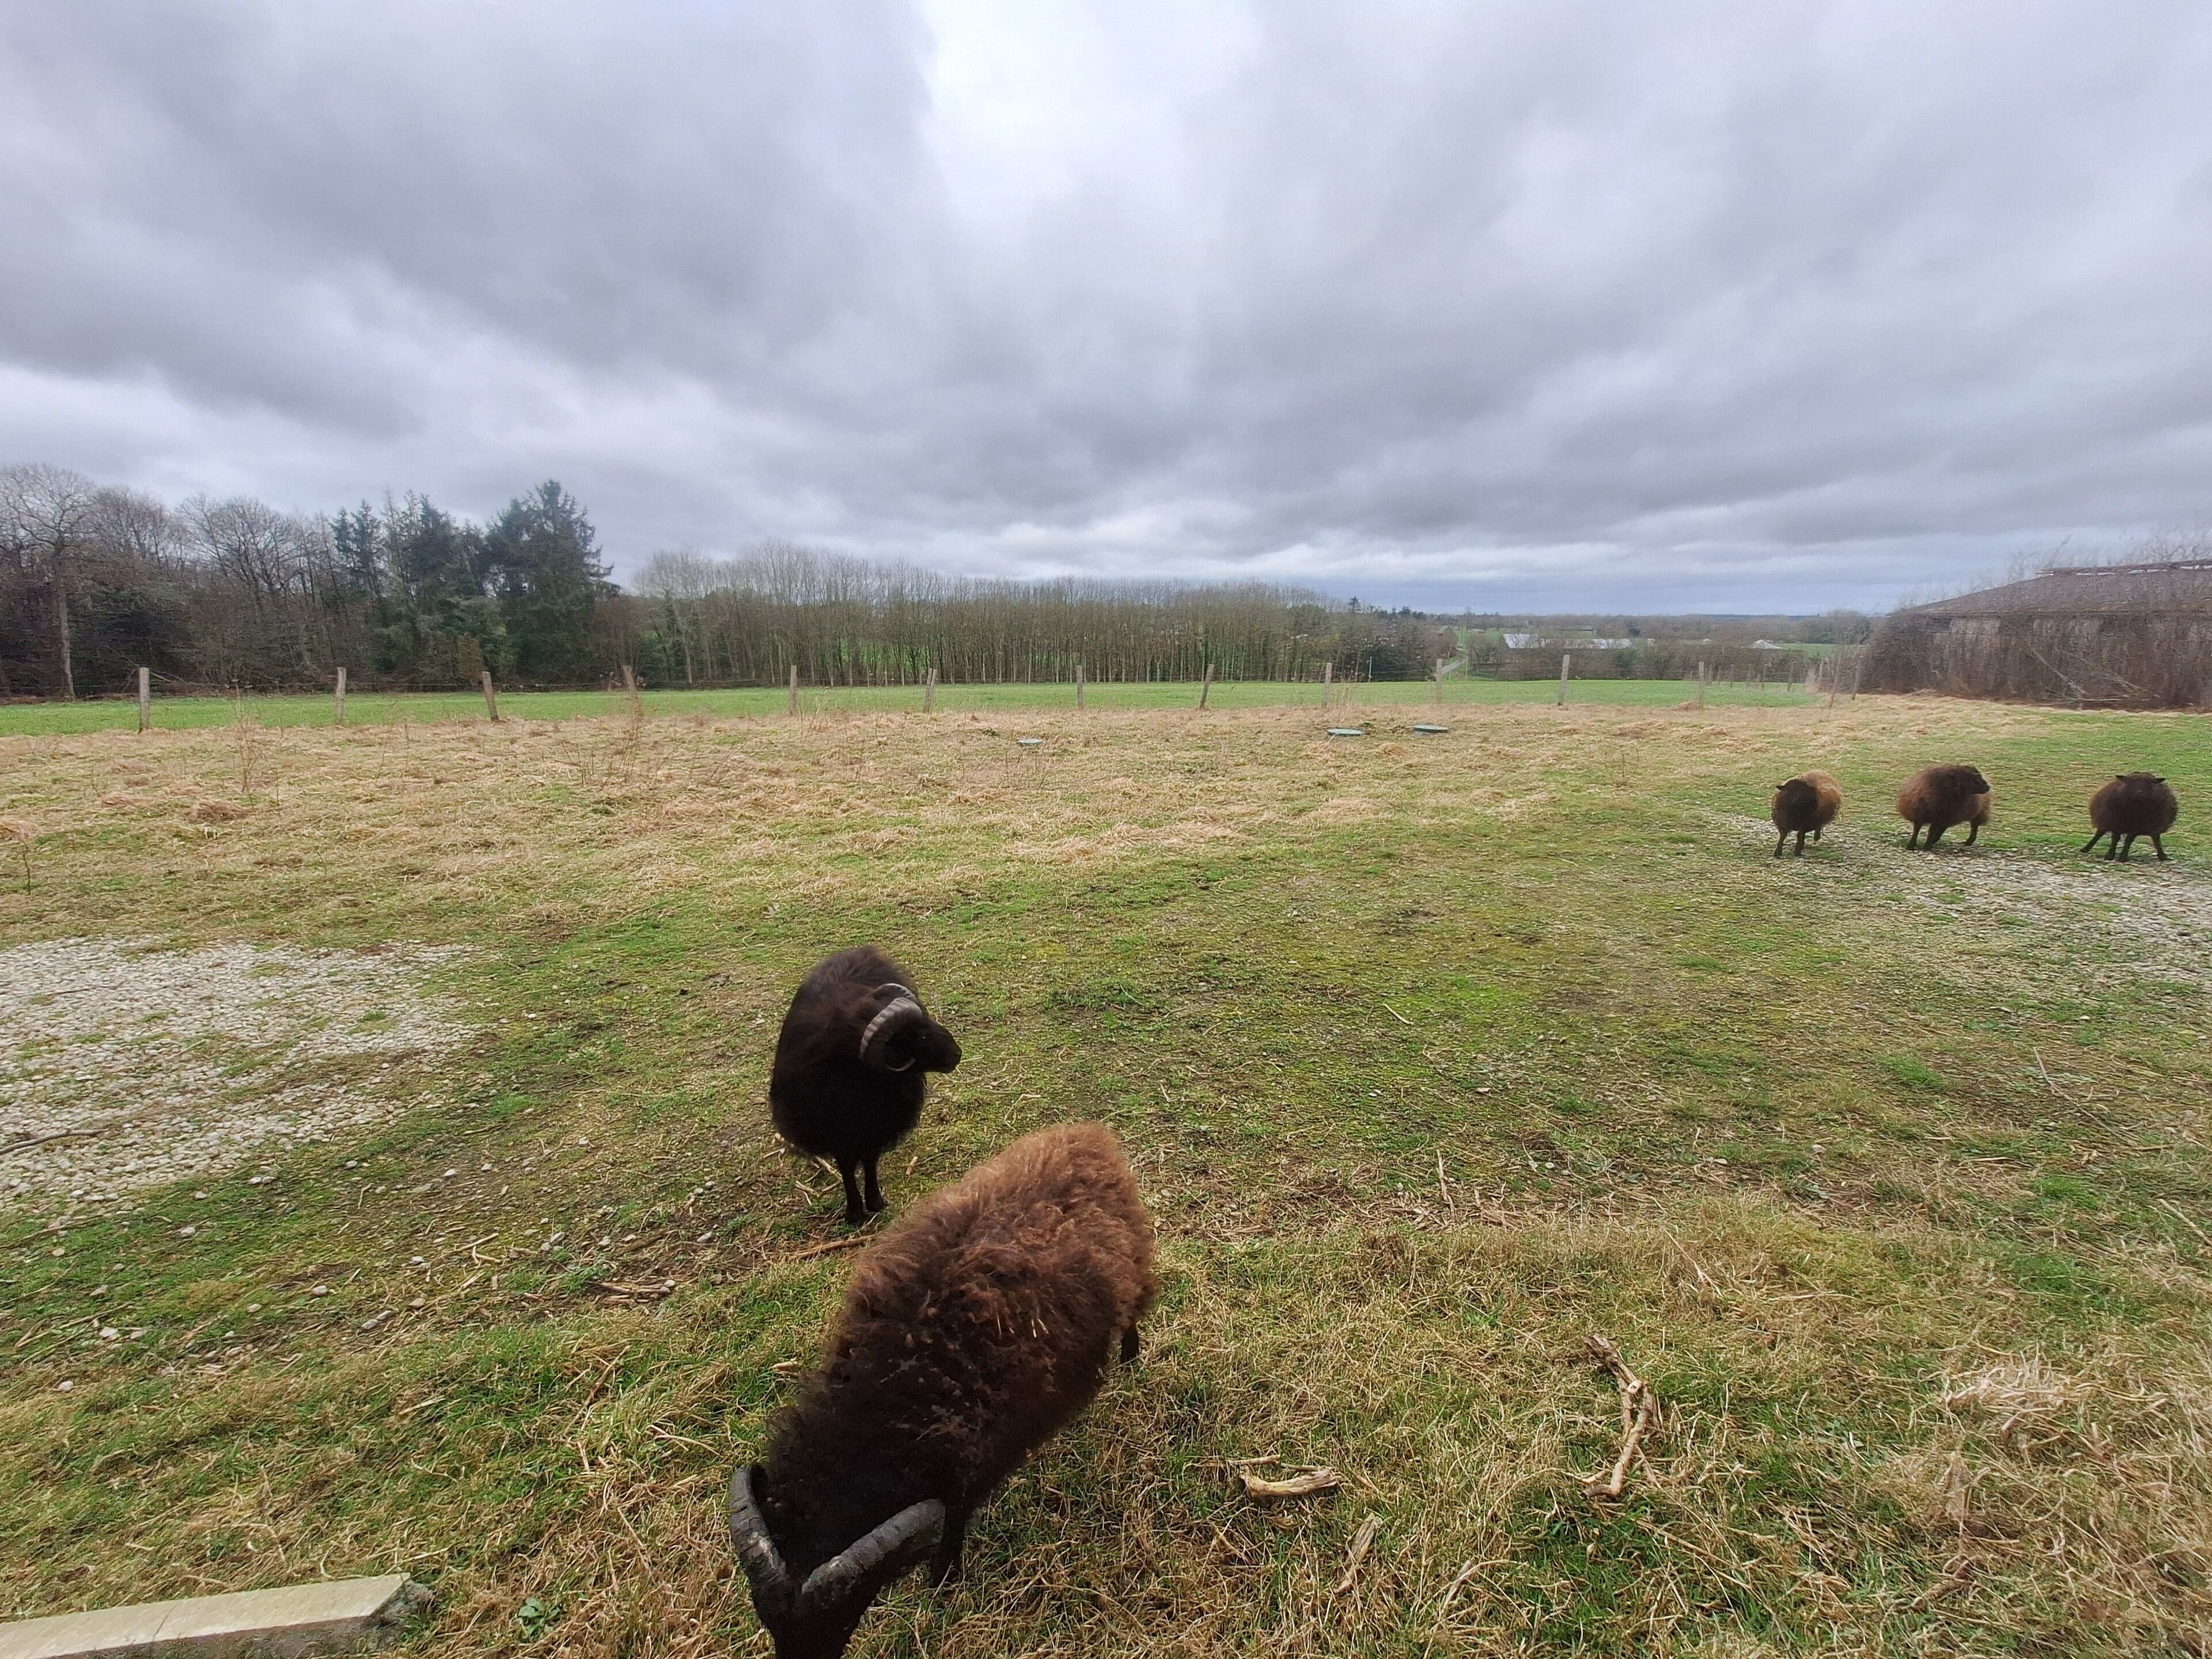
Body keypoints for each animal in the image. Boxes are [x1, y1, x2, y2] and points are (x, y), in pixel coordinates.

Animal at [729, 1122, 1157, 1659]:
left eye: (842, 1617)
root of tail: (1087, 1136)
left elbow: (955, 1519)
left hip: (1134, 1272)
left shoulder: (975, 1460)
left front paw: (942, 1580)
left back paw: (1130, 1359)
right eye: (762, 1616)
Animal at [770, 947, 962, 1227]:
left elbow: (870, 1160)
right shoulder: (836, 1131)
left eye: (928, 1020)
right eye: (921, 1036)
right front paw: (855, 1213)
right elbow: (847, 1167)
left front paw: (875, 1202)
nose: (957, 1054)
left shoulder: (876, 1126)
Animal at [1770, 769, 1842, 856]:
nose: (1796, 801)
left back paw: (1816, 837)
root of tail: (1821, 771)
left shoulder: (1804, 825)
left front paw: (1797, 851)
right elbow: (1783, 836)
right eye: (1790, 791)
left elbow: (1800, 835)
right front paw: (1778, 852)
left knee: (1818, 827)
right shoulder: (1783, 822)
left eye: (1804, 794)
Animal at [1896, 764, 1992, 850]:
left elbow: (1932, 832)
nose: (1988, 787)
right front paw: (1911, 845)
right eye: (1975, 779)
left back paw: (1968, 842)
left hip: (1978, 813)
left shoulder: (1942, 819)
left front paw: (1927, 846)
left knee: (1974, 828)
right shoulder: (1920, 815)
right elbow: (1916, 831)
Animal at [2081, 772, 2179, 861]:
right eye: (2131, 783)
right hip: (2106, 820)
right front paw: (2110, 855)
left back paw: (2163, 856)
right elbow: (2115, 840)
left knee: (2156, 839)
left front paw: (2123, 857)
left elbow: (2128, 841)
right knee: (2099, 834)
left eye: (2150, 784)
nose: (2139, 793)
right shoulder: (2116, 823)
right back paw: (2086, 849)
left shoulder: (2137, 828)